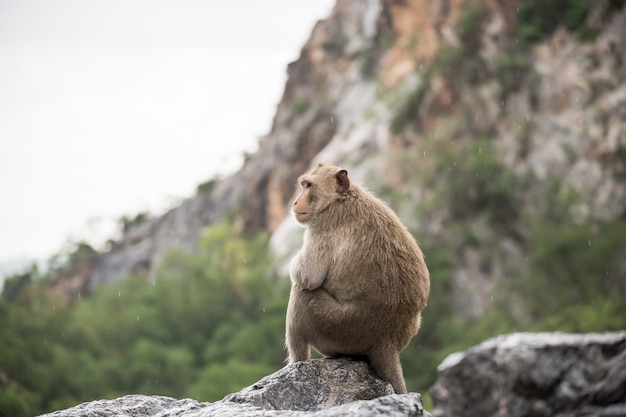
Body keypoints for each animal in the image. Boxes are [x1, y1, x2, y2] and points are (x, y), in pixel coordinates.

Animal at [284, 162, 426, 394]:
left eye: (308, 186)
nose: (296, 201)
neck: (342, 198)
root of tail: (386, 341)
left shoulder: (322, 225)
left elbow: (308, 276)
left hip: (338, 329)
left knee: (302, 294)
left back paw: (297, 362)